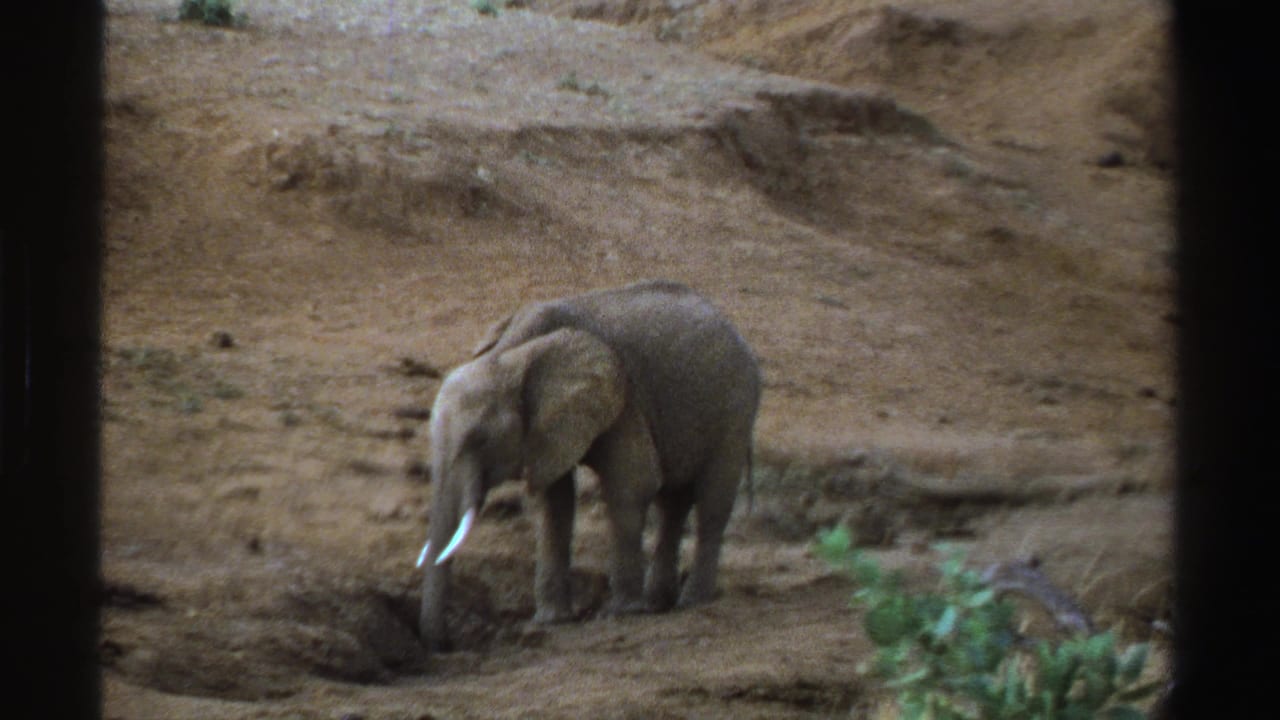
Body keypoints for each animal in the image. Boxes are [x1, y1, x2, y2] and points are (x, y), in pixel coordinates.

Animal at [415, 279, 761, 652]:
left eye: (480, 440)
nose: (445, 645)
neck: (510, 354)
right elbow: (554, 502)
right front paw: (551, 620)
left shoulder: (623, 397)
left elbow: (631, 484)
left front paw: (621, 612)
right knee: (673, 502)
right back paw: (659, 603)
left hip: (735, 409)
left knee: (712, 501)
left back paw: (692, 601)